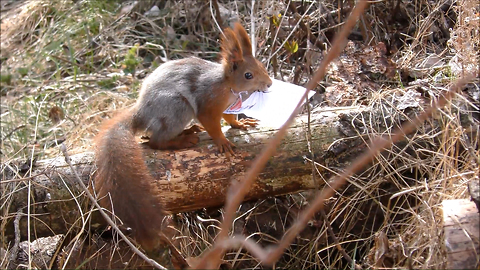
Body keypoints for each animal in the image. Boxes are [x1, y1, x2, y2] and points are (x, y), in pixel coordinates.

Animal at [94, 23, 272, 251]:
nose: (269, 84)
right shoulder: (208, 104)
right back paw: (183, 140)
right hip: (178, 107)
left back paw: (188, 131)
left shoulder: (225, 107)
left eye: (262, 66)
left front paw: (240, 123)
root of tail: (141, 113)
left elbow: (229, 118)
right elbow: (212, 125)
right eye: (248, 75)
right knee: (156, 141)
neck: (227, 85)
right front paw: (222, 142)